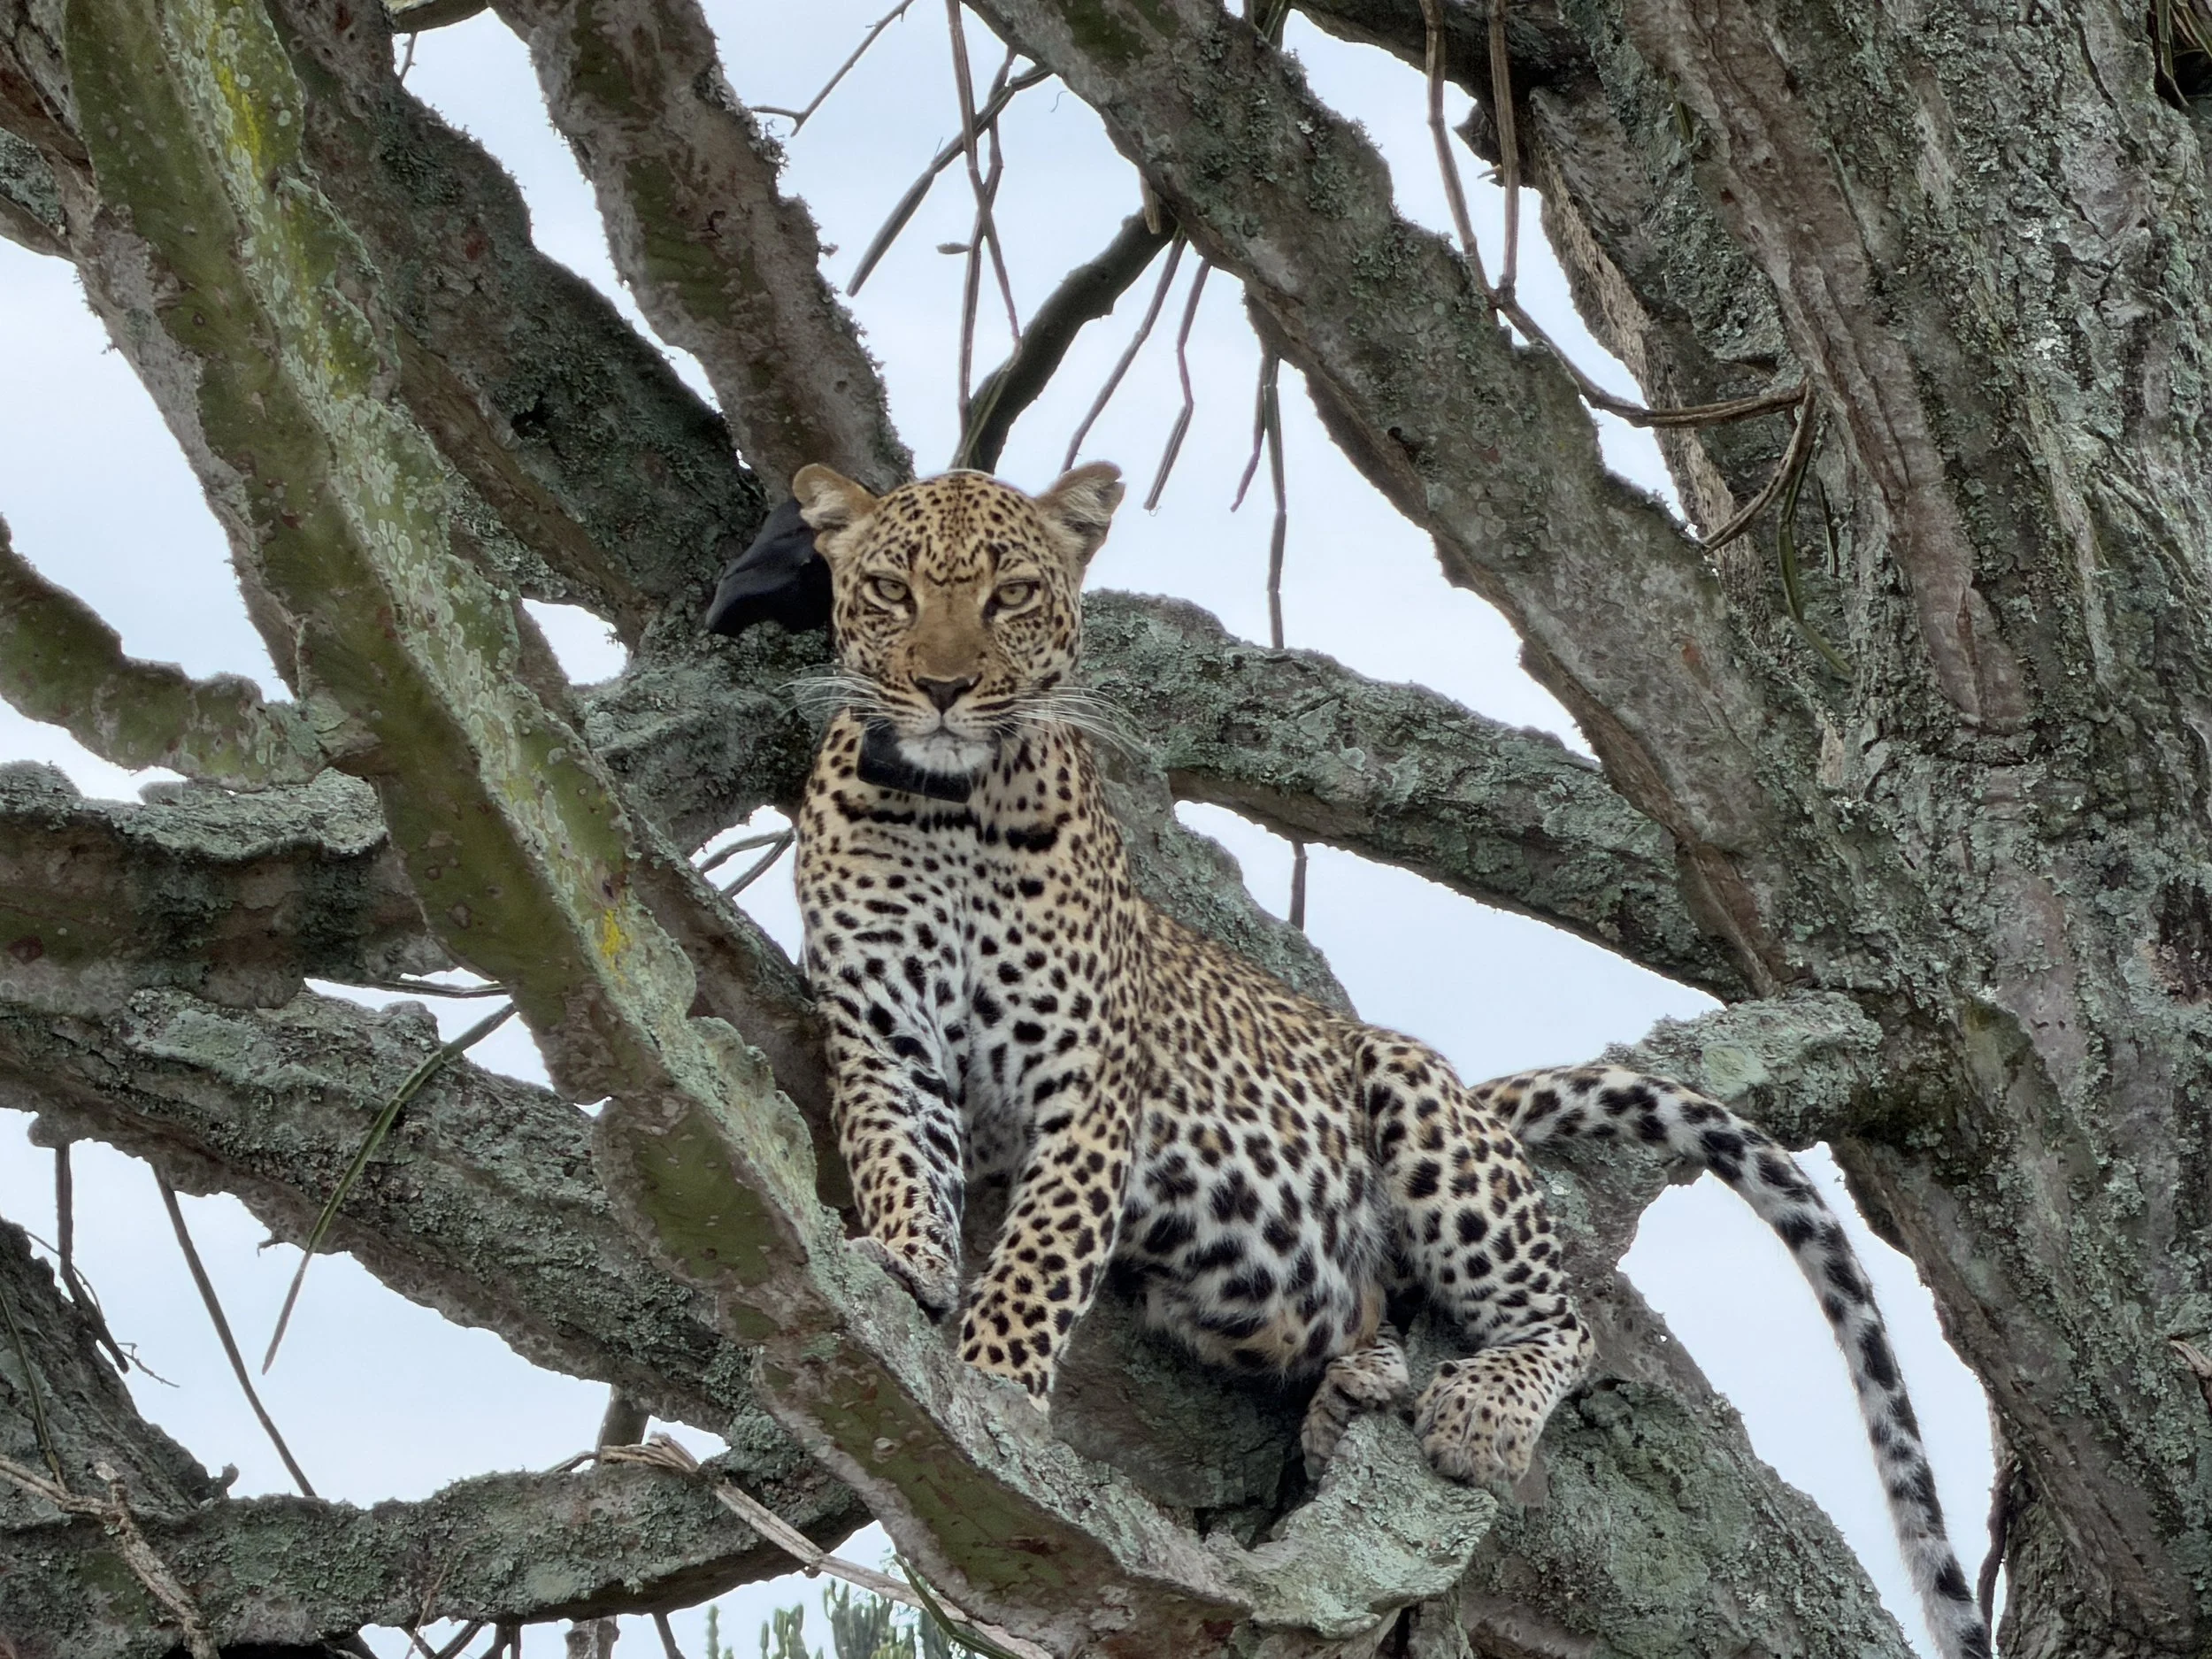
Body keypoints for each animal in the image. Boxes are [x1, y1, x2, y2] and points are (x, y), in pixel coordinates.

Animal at [786, 462, 1991, 1659]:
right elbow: (895, 1156)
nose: (942, 686)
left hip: (1417, 1113)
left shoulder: (1083, 1086)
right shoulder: (881, 1034)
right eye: (890, 590)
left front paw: (995, 1389)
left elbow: (1038, 1261)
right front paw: (907, 1258)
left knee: (1564, 1323)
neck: (945, 811)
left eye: (1012, 597)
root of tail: (1474, 1094)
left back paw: (1476, 1411)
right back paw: (1347, 1396)